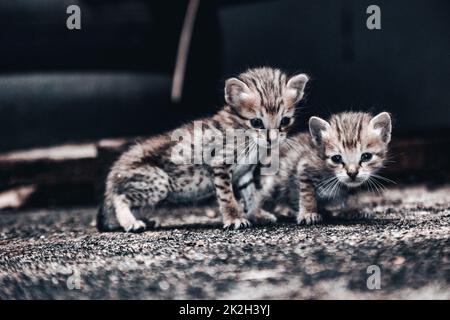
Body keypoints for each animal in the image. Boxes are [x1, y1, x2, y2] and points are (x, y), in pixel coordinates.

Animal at [97, 67, 310, 232]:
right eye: (256, 122)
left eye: (285, 121)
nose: (272, 139)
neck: (247, 136)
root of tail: (116, 169)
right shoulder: (220, 164)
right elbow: (227, 196)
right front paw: (234, 217)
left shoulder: (245, 173)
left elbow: (251, 195)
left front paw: (256, 213)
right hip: (159, 182)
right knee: (120, 197)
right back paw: (130, 222)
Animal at [255, 111, 392, 224]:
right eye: (336, 158)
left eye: (366, 156)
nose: (352, 173)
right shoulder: (304, 168)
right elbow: (307, 195)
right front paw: (308, 213)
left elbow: (352, 194)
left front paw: (355, 209)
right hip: (276, 182)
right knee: (261, 197)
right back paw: (259, 215)